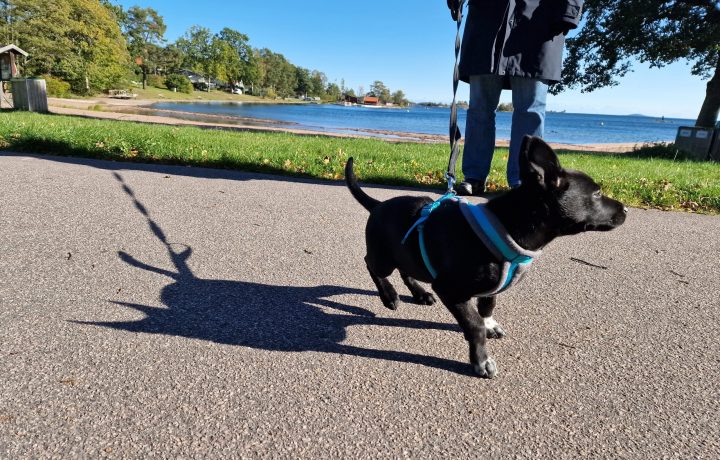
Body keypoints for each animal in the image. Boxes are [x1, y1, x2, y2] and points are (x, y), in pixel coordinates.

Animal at [346, 136, 628, 378]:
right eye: (596, 194)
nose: (625, 209)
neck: (507, 226)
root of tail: (378, 205)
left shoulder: (490, 285)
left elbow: (487, 305)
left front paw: (490, 323)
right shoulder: (450, 289)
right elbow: (474, 325)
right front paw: (481, 360)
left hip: (407, 252)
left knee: (406, 269)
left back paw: (420, 293)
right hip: (383, 257)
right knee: (371, 265)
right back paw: (389, 296)